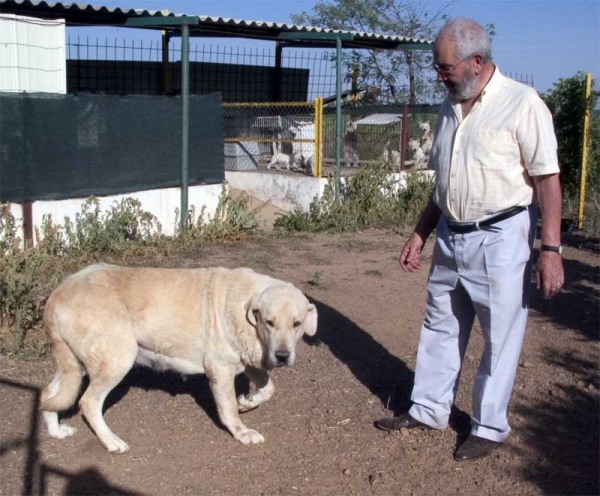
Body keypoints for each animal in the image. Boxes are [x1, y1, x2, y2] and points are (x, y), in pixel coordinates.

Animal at [41, 264, 318, 454]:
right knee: (88, 402)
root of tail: (56, 295)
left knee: (48, 394)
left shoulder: (248, 361)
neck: (245, 308)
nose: (282, 356)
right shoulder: (220, 369)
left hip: (76, 365)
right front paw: (242, 432)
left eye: (297, 324)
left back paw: (56, 431)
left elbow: (268, 388)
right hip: (118, 357)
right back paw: (111, 441)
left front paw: (248, 401)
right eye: (269, 322)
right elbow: (229, 409)